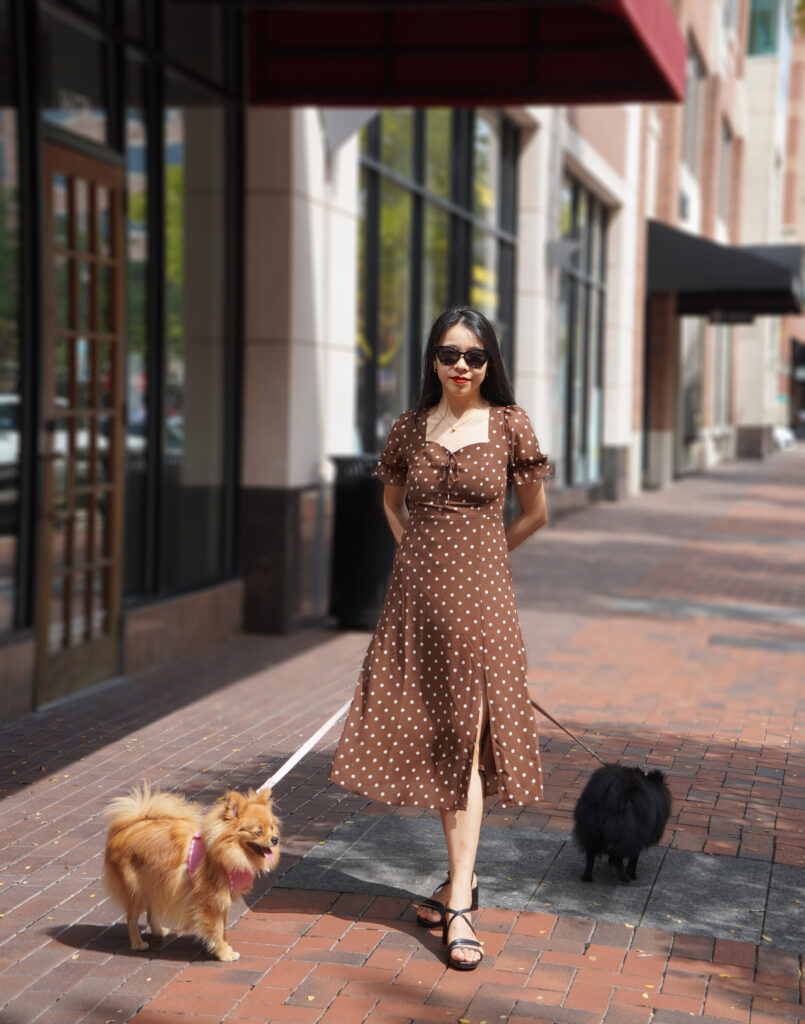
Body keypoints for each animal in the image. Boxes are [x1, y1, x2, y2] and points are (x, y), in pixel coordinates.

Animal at [103, 782, 278, 958]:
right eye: (258, 832)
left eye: (272, 828)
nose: (275, 839)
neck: (225, 851)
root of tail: (130, 826)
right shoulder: (212, 902)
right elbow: (217, 930)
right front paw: (223, 953)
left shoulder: (221, 901)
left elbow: (222, 930)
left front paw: (224, 949)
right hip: (136, 891)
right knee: (131, 919)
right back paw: (137, 944)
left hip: (154, 884)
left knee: (151, 911)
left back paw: (159, 931)